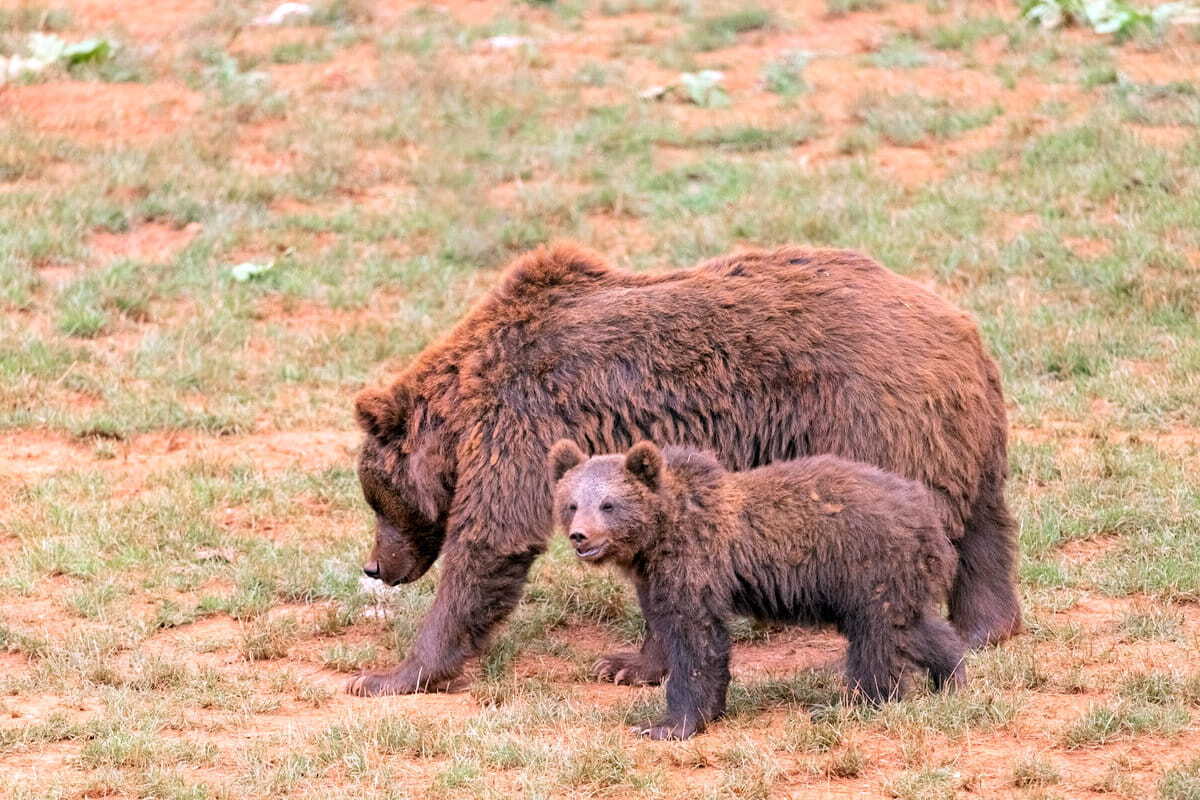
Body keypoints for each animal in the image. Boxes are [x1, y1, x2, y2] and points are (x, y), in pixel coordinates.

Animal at [345, 242, 1016, 698]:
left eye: (376, 499)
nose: (376, 566)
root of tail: (961, 329)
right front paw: (629, 663)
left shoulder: (522, 422)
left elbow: (490, 541)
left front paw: (392, 674)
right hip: (961, 437)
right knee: (985, 530)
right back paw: (984, 627)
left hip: (869, 424)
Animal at [548, 439, 967, 740]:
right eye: (572, 504)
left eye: (608, 504)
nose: (580, 536)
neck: (657, 538)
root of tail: (927, 515)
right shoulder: (654, 579)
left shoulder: (695, 566)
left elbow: (696, 642)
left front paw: (667, 724)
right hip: (893, 577)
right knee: (911, 626)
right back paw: (950, 676)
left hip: (867, 565)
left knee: (875, 638)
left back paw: (851, 703)